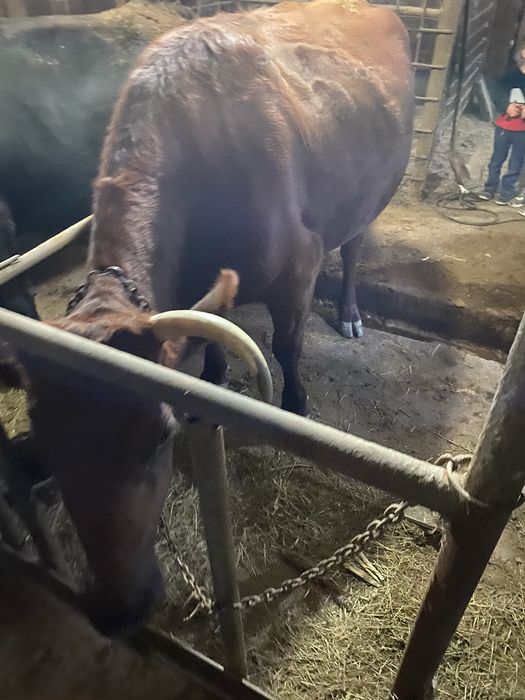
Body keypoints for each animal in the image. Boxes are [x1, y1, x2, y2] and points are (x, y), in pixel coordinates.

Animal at [5, 0, 413, 635]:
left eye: (159, 438)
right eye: (46, 442)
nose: (116, 607)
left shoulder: (300, 263)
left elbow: (288, 345)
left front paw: (294, 406)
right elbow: (212, 337)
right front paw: (214, 376)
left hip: (369, 200)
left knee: (353, 249)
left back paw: (348, 312)